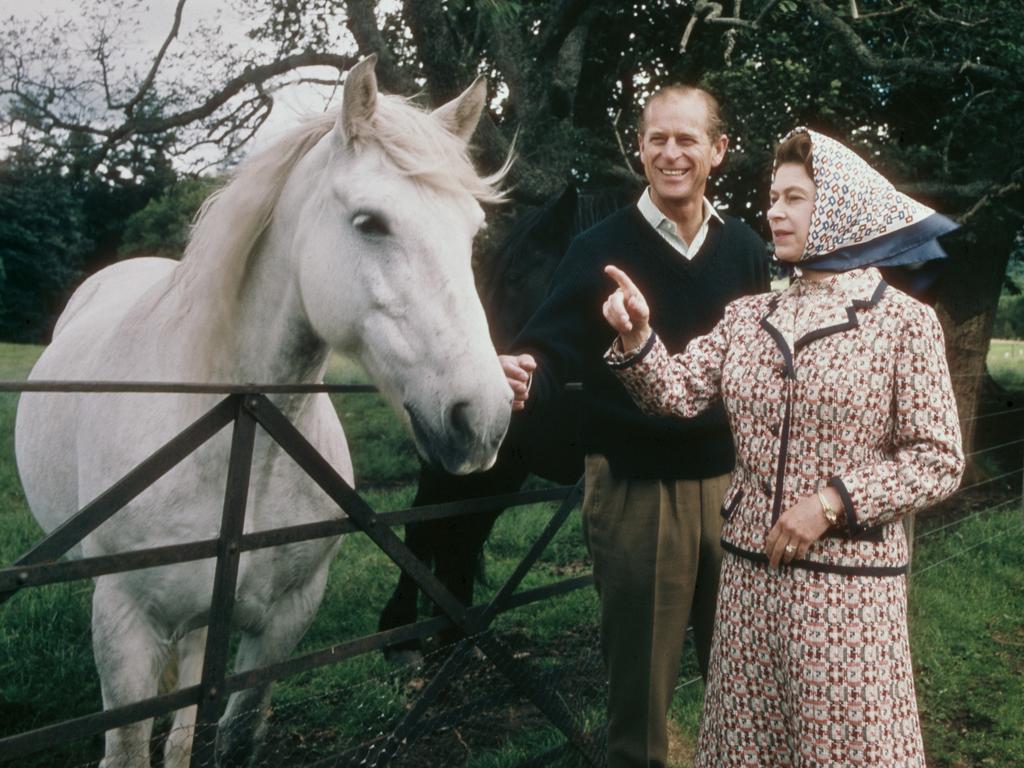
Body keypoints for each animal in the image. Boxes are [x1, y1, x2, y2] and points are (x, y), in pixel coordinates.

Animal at [14, 55, 512, 768]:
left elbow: (233, 733)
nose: (485, 418)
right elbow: (131, 746)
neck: (237, 437)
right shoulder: (126, 624)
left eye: (471, 231)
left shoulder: (284, 622)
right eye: (370, 222)